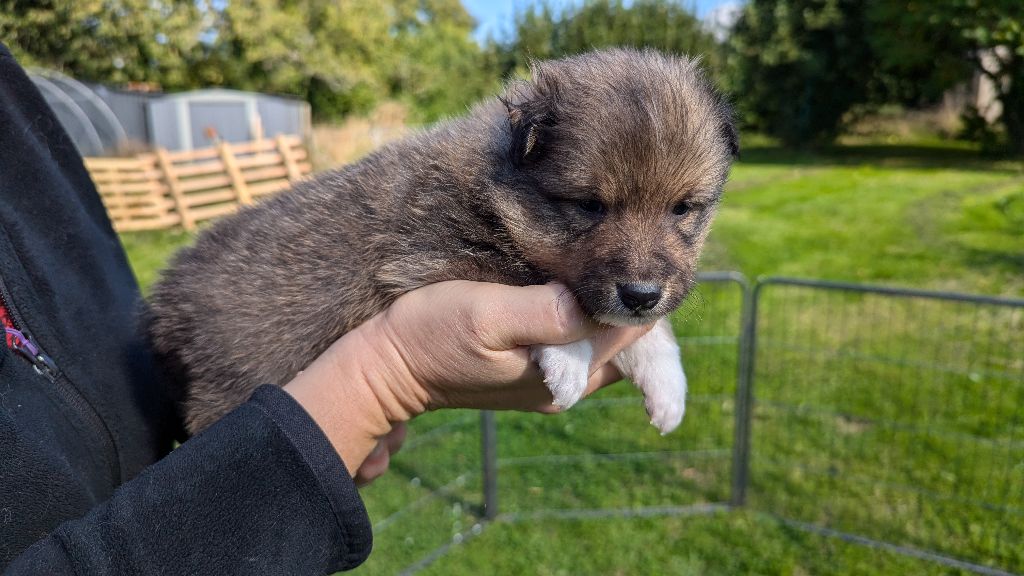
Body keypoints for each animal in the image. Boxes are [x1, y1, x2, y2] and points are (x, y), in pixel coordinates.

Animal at [146, 49, 737, 432]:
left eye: (684, 208)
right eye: (589, 206)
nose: (641, 295)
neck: (497, 186)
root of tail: (160, 307)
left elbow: (643, 332)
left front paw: (667, 385)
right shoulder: (426, 253)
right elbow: (534, 279)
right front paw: (569, 357)